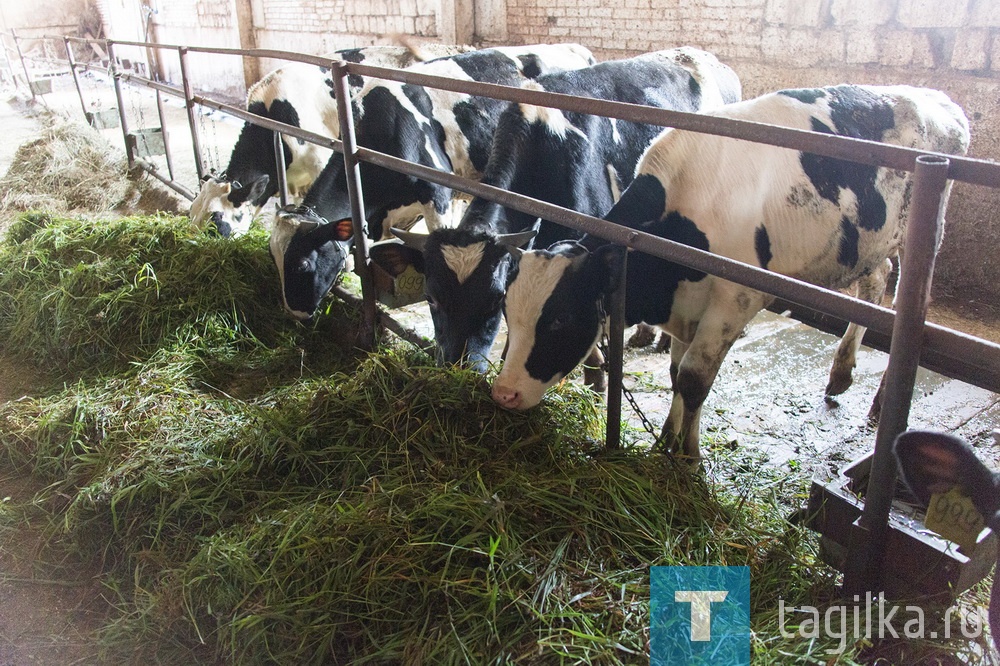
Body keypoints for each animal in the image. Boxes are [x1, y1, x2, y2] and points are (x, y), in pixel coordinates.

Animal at [496, 85, 972, 460]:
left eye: (560, 318)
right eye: (507, 313)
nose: (504, 393)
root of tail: (940, 99)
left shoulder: (736, 298)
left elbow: (693, 378)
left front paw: (689, 460)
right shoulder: (687, 305)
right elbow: (677, 374)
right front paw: (666, 440)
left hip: (925, 236)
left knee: (909, 303)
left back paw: (882, 397)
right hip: (868, 244)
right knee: (876, 279)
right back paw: (841, 373)